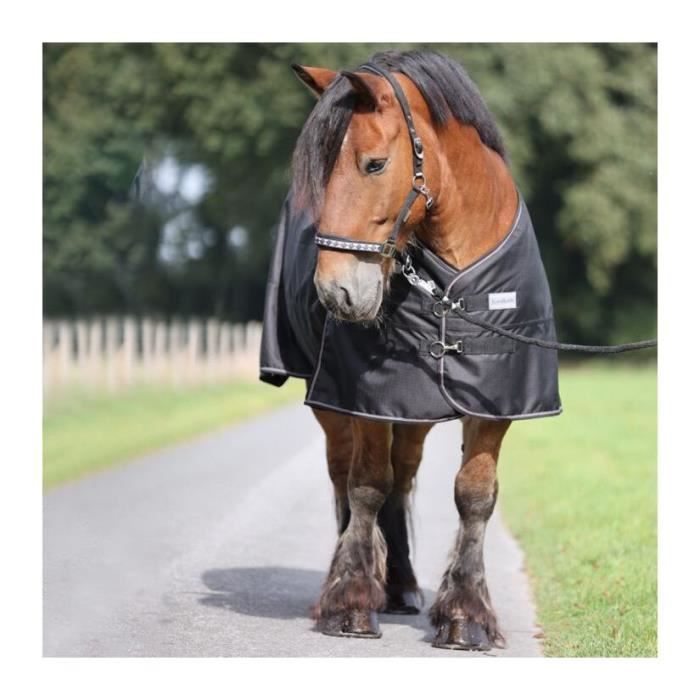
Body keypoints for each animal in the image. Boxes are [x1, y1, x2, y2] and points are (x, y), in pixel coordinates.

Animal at [260, 49, 557, 652]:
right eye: (317, 176)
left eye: (373, 165)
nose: (337, 293)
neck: (452, 284)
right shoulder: (368, 399)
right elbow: (366, 487)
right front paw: (352, 601)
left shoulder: (496, 401)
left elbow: (474, 494)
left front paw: (466, 615)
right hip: (333, 404)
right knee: (344, 476)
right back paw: (353, 583)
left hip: (415, 414)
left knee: (402, 476)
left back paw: (399, 587)